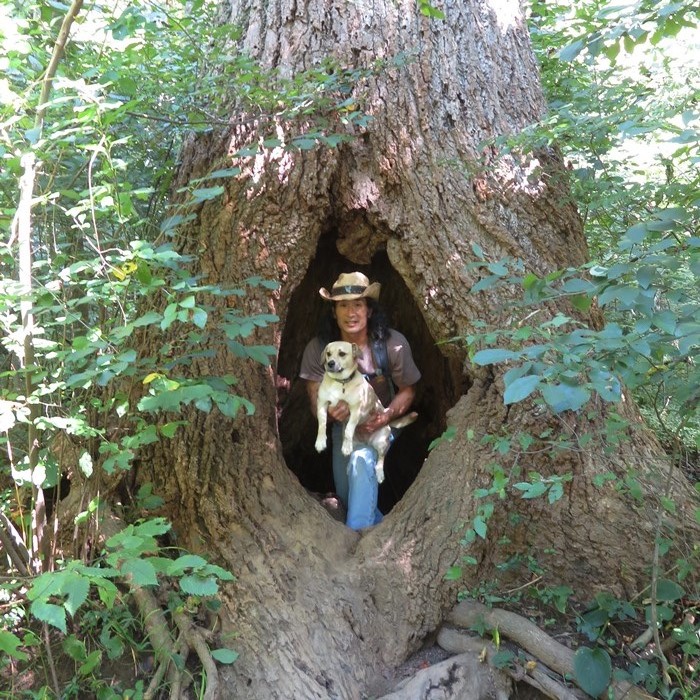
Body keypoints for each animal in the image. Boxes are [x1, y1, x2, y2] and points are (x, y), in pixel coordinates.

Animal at [316, 342, 416, 484]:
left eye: (342, 354)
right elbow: (322, 424)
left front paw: (345, 446)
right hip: (358, 444)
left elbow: (349, 429)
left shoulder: (355, 410)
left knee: (381, 458)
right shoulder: (322, 404)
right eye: (328, 353)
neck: (341, 383)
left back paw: (379, 472)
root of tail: (366, 442)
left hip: (381, 442)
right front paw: (320, 442)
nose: (330, 363)